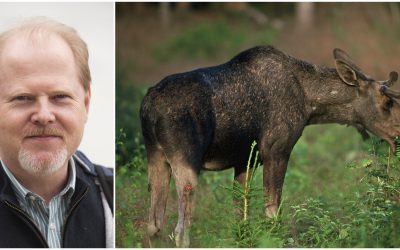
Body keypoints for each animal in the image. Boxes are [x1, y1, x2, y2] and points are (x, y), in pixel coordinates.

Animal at [140, 46, 400, 247]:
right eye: (387, 102)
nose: (397, 135)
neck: (310, 105)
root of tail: (149, 109)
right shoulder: (277, 150)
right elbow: (273, 213)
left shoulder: (244, 160)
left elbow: (241, 215)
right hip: (186, 161)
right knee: (180, 231)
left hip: (156, 157)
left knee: (153, 225)